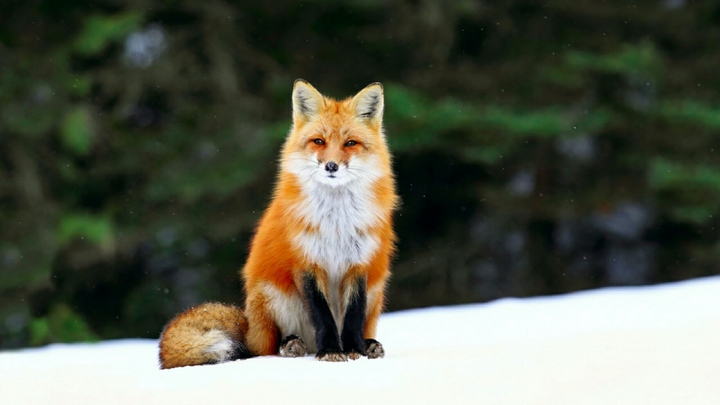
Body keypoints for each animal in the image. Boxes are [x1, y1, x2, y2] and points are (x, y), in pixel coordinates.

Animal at [159, 79, 398, 368]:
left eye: (350, 143)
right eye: (319, 141)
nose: (331, 166)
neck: (335, 223)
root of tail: (250, 326)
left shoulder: (359, 263)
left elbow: (353, 316)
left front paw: (354, 351)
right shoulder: (306, 262)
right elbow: (322, 315)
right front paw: (331, 350)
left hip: (376, 292)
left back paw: (370, 345)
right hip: (272, 297)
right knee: (268, 348)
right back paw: (292, 345)